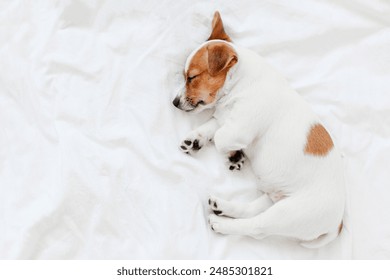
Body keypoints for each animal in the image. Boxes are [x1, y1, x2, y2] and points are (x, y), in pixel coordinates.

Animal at [173, 10, 344, 248]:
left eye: (191, 77)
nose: (174, 102)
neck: (240, 84)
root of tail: (337, 224)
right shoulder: (227, 117)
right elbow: (213, 126)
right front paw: (196, 139)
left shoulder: (239, 128)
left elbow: (220, 137)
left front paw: (233, 154)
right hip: (274, 199)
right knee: (250, 210)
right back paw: (222, 207)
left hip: (287, 214)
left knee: (255, 228)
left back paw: (221, 223)